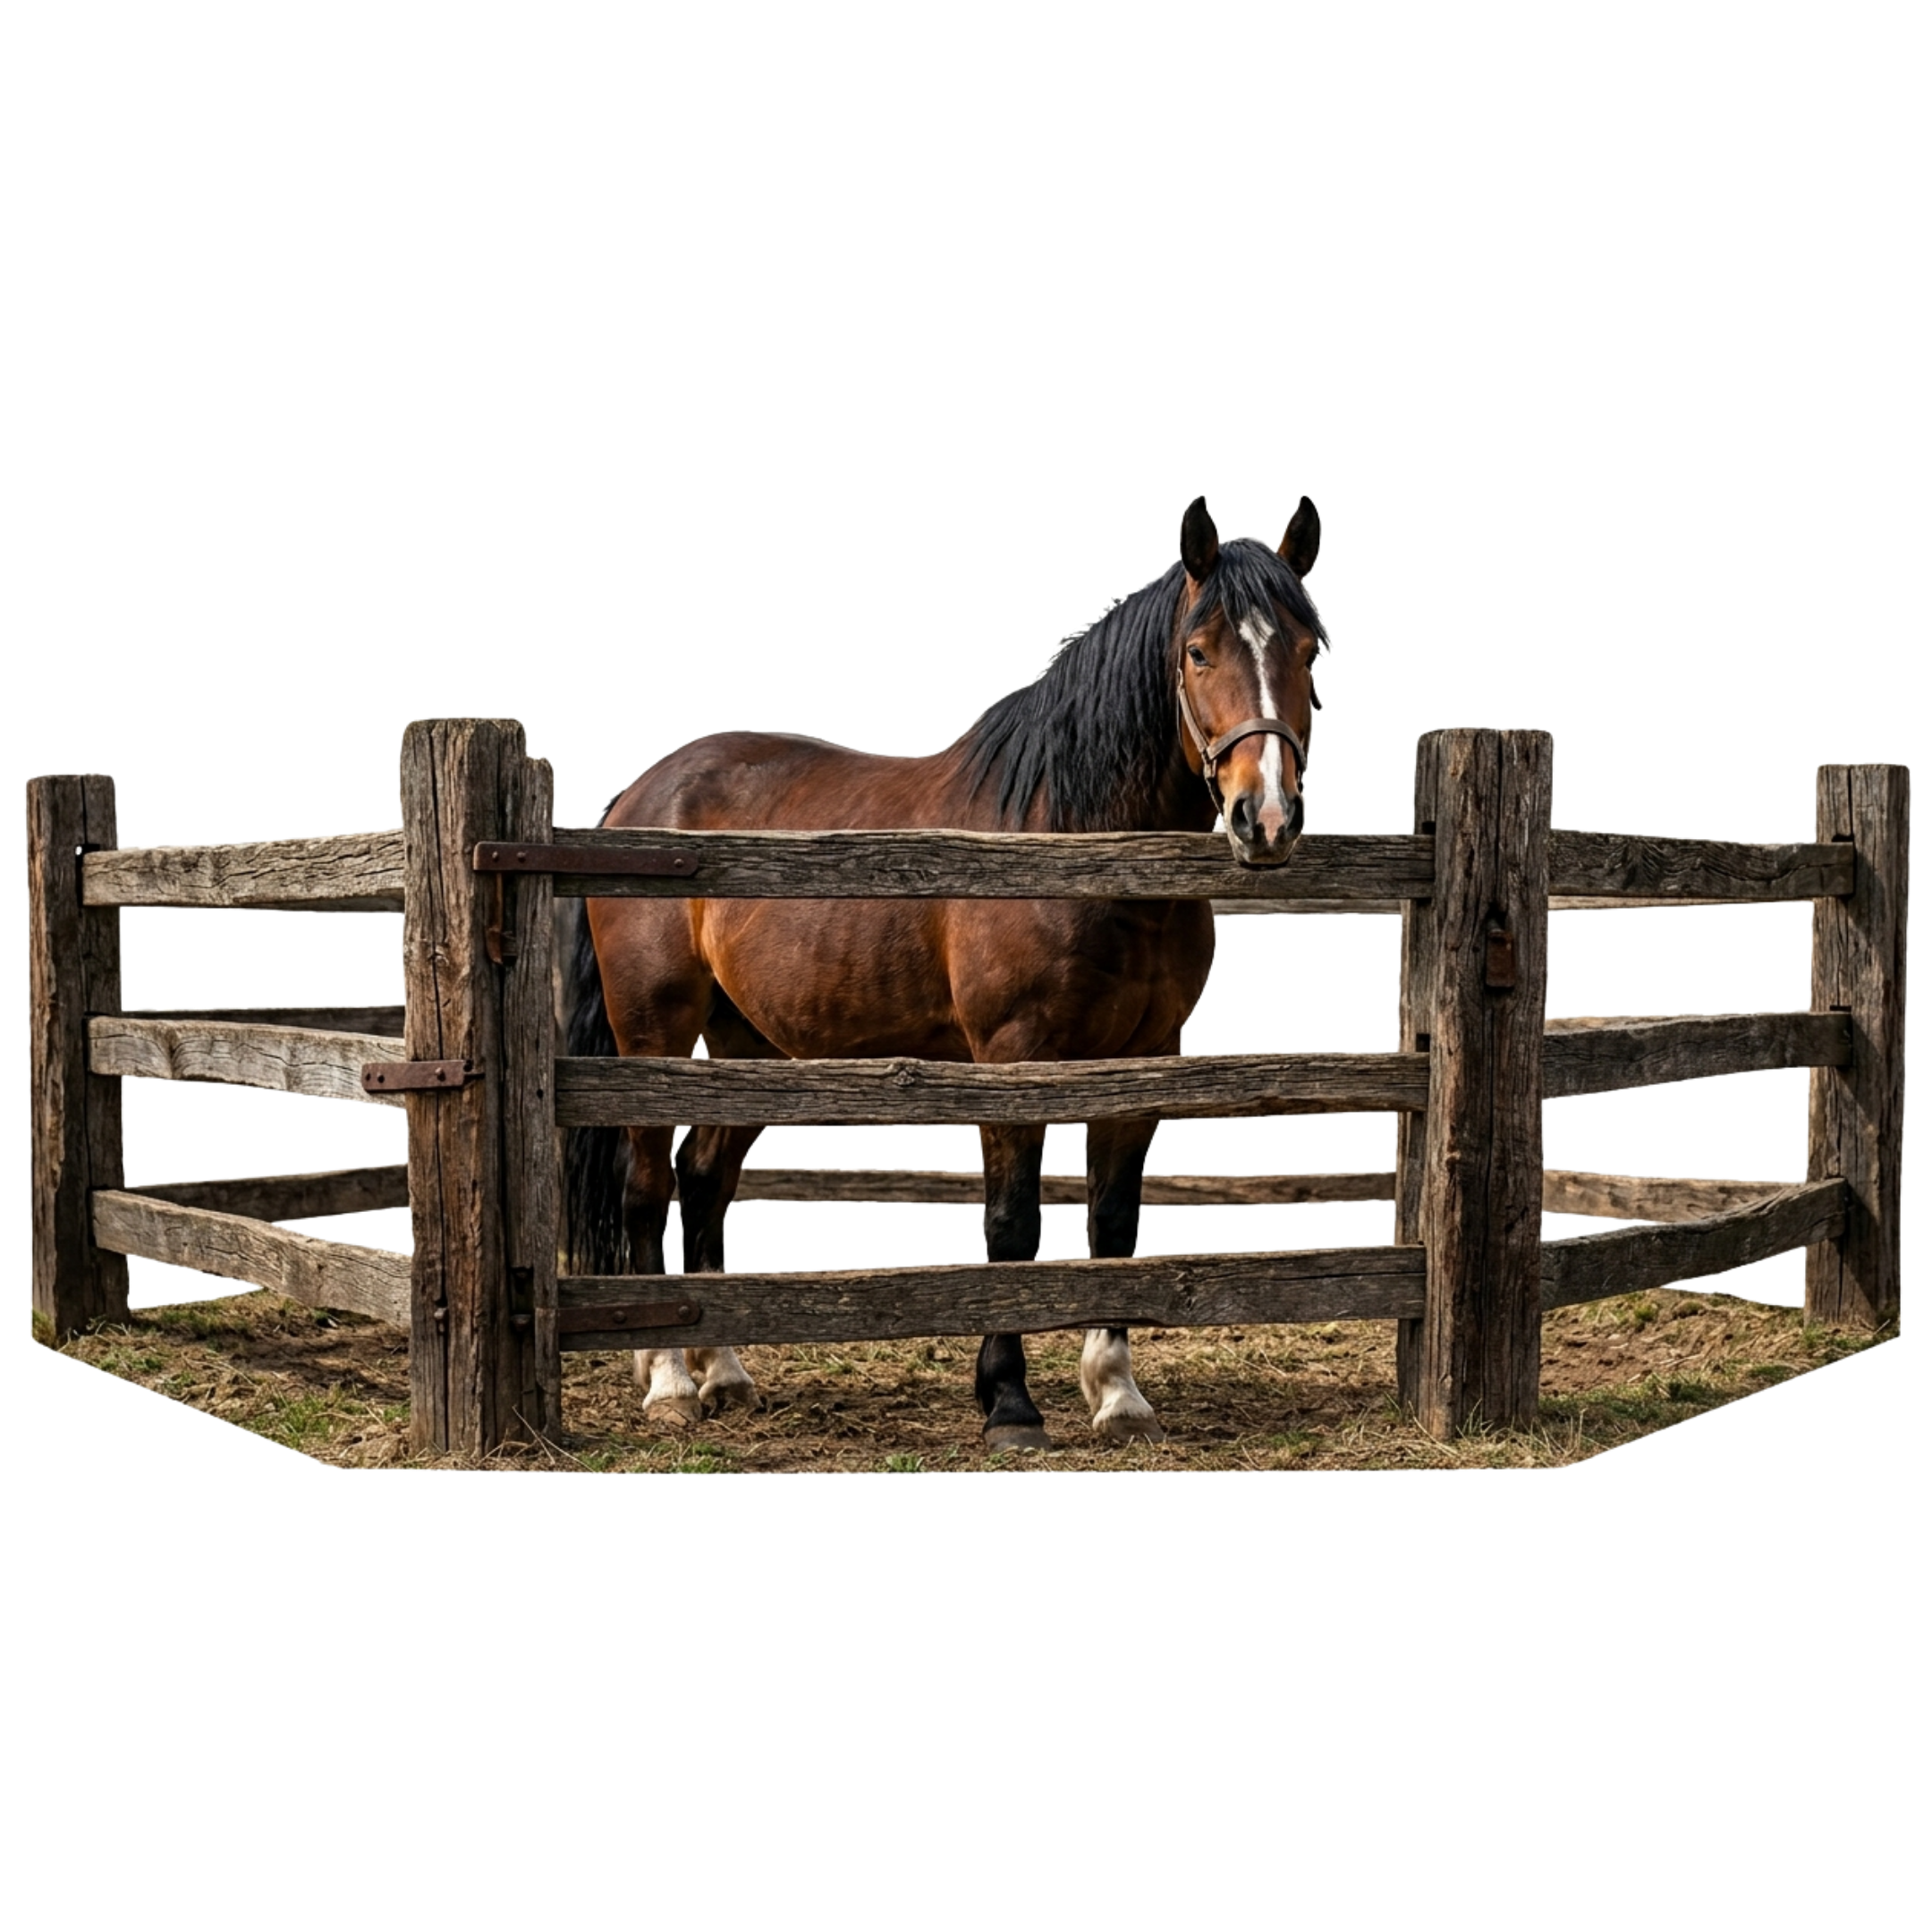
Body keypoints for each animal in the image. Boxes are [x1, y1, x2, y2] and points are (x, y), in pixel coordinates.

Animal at [562, 494, 1331, 1450]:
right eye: (1199, 650)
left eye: (1309, 650)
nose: (1267, 815)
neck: (1067, 840)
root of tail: (639, 796)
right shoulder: (1012, 1060)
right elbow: (1010, 1223)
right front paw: (1009, 1402)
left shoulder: (1145, 1064)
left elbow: (1112, 1221)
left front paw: (1117, 1394)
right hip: (654, 1033)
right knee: (648, 1184)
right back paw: (666, 1376)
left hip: (751, 1046)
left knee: (707, 1181)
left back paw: (725, 1371)